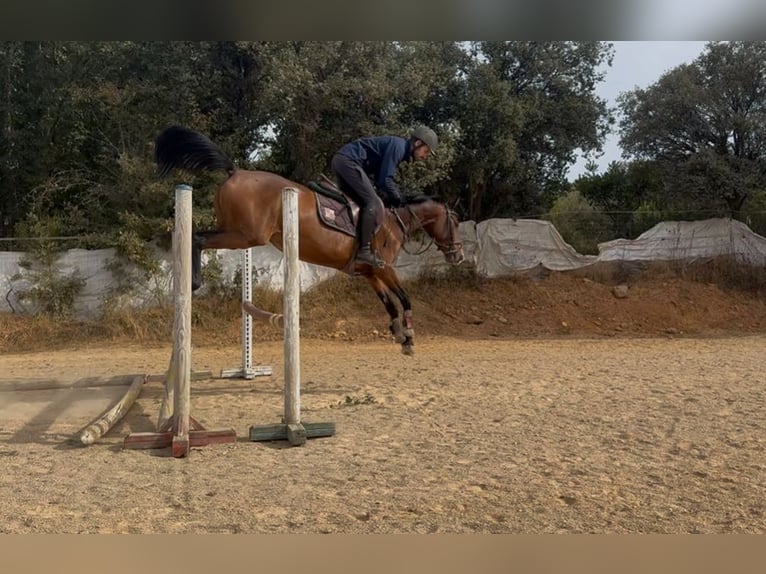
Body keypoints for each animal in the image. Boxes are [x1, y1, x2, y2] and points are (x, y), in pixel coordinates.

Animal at [154, 126, 465, 355]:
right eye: (455, 222)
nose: (458, 256)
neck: (394, 222)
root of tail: (236, 171)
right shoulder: (384, 268)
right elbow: (405, 298)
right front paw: (409, 336)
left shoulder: (370, 273)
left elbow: (389, 303)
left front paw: (399, 333)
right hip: (245, 235)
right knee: (198, 238)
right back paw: (194, 282)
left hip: (237, 232)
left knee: (198, 237)